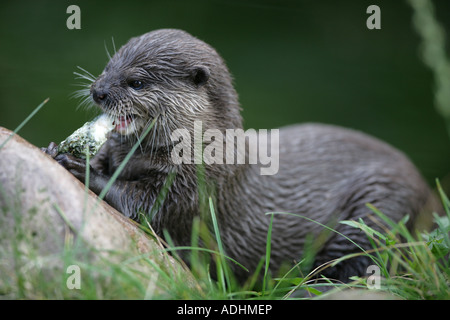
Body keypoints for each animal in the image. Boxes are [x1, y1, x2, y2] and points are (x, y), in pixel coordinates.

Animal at [44, 28, 434, 282]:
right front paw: (57, 149)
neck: (205, 150)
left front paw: (79, 167)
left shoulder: (196, 186)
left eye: (136, 82)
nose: (98, 91)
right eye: (108, 66)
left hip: (380, 209)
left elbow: (138, 205)